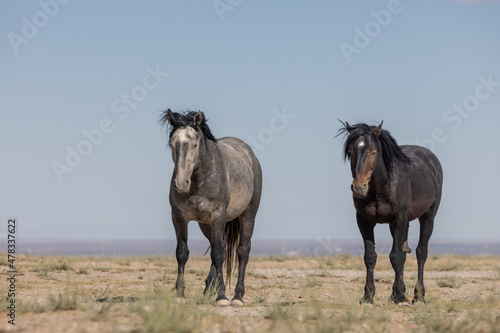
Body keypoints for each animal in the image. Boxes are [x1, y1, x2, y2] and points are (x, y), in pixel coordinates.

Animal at [161, 110, 264, 308]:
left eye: (195, 144)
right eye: (172, 144)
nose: (181, 183)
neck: (200, 179)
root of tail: (250, 155)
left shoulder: (218, 216)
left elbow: (217, 254)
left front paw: (222, 297)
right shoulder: (178, 217)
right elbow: (182, 252)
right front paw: (180, 294)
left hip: (248, 214)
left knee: (242, 251)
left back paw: (237, 296)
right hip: (206, 225)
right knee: (221, 247)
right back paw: (209, 290)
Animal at [340, 121, 442, 304]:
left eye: (373, 152)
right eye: (350, 152)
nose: (359, 188)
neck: (381, 189)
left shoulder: (399, 219)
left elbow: (396, 256)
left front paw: (401, 297)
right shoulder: (364, 221)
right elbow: (370, 257)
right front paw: (368, 296)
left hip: (428, 217)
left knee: (421, 252)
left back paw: (418, 296)